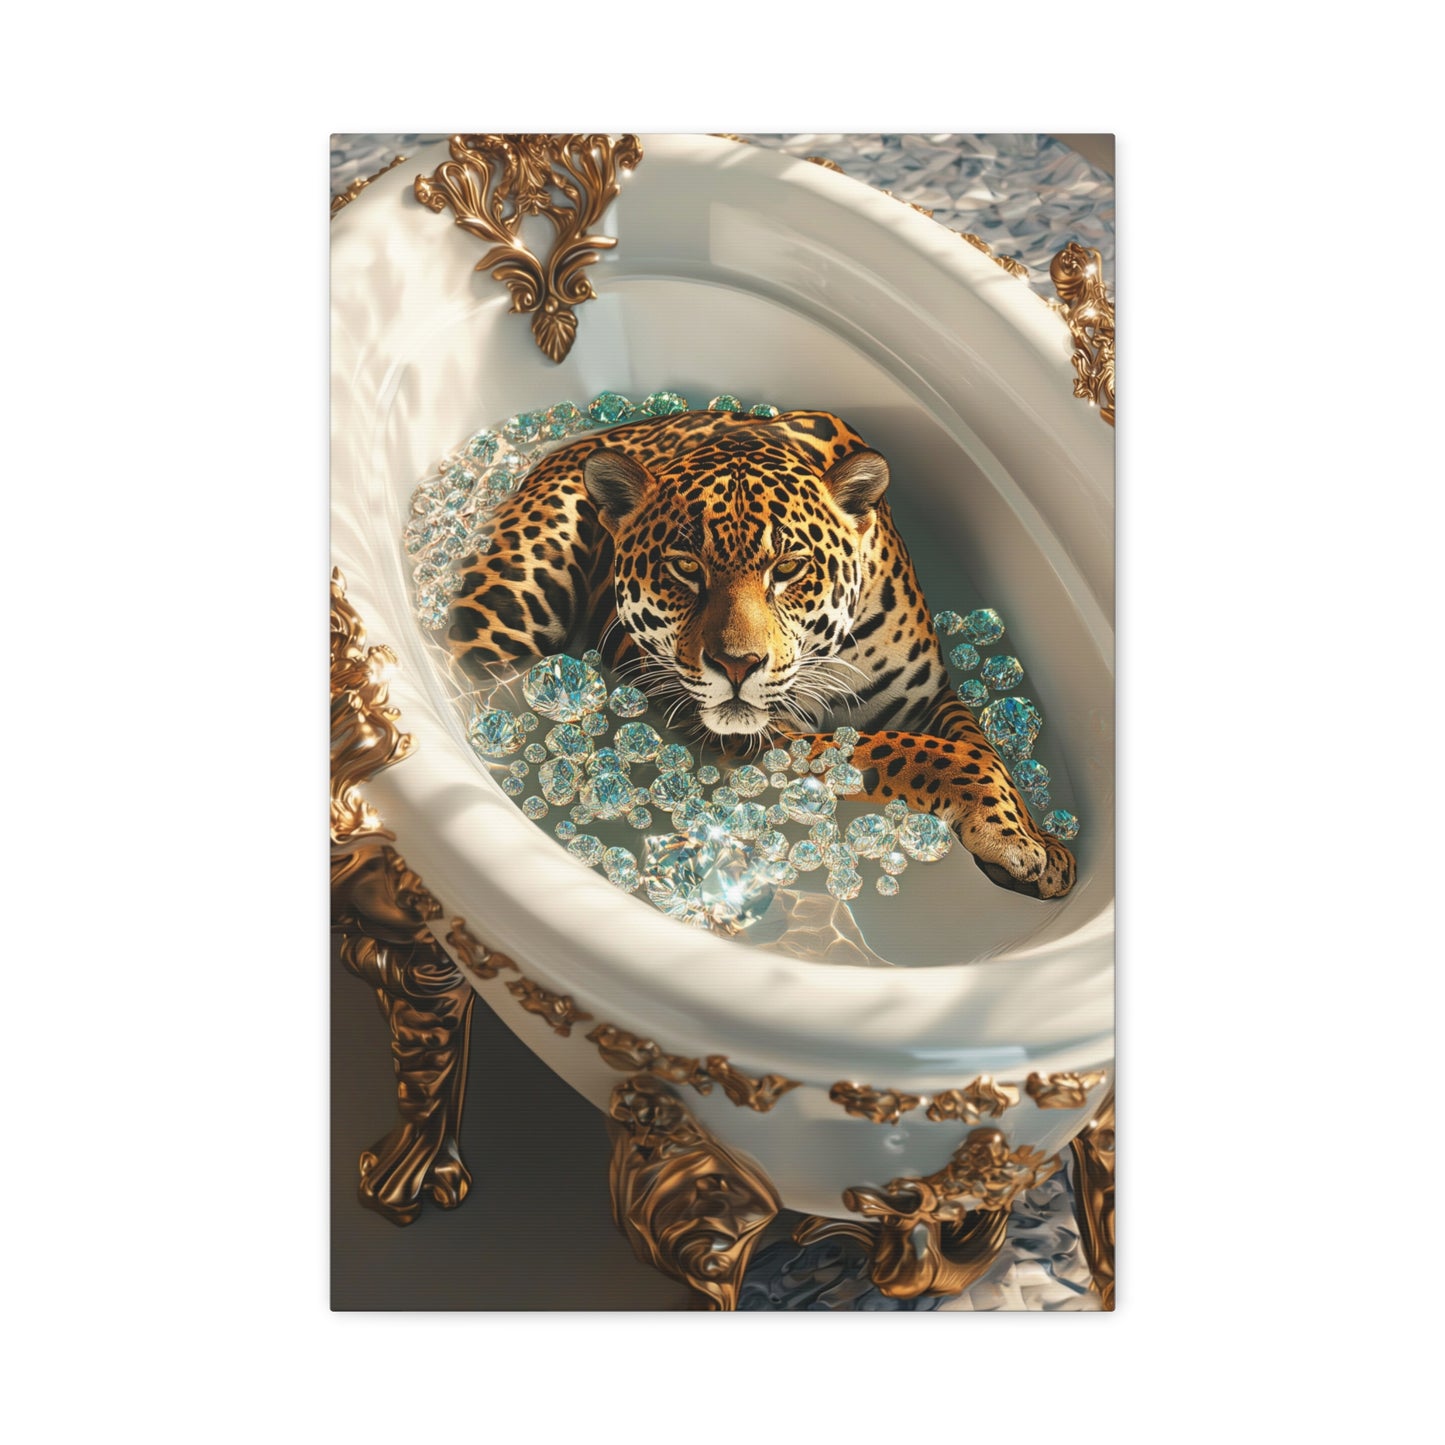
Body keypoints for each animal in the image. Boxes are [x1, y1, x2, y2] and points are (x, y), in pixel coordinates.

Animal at [446, 408, 1075, 899]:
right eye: (686, 567)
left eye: (789, 568)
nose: (736, 666)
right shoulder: (767, 739)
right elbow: (922, 753)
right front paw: (1014, 839)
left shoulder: (928, 696)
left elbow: (979, 748)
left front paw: (1036, 841)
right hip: (509, 608)